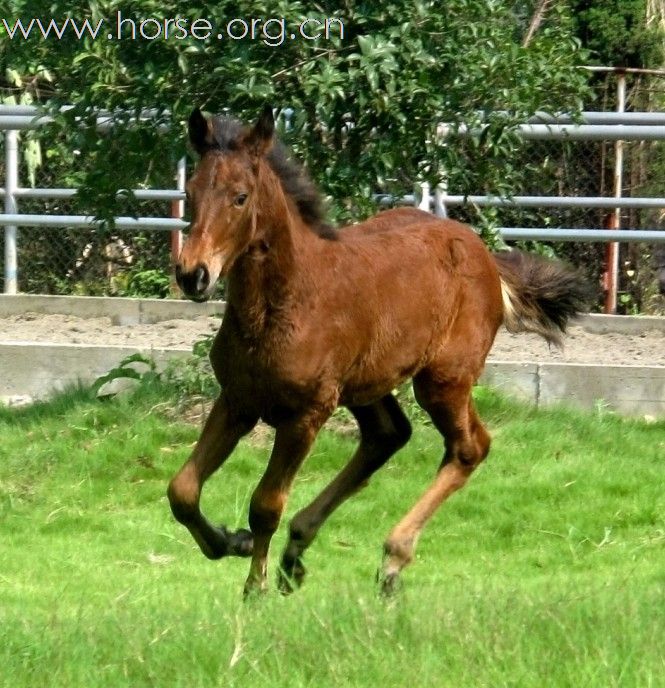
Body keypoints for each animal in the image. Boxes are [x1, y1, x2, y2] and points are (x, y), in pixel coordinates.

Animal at [167, 105, 588, 592]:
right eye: (190, 192)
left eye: (240, 197)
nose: (193, 274)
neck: (282, 303)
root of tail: (484, 255)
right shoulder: (237, 400)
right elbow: (182, 490)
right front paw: (229, 542)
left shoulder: (306, 414)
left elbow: (265, 504)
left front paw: (254, 588)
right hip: (368, 383)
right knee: (388, 435)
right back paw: (298, 549)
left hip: (443, 380)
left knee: (468, 448)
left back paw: (391, 558)